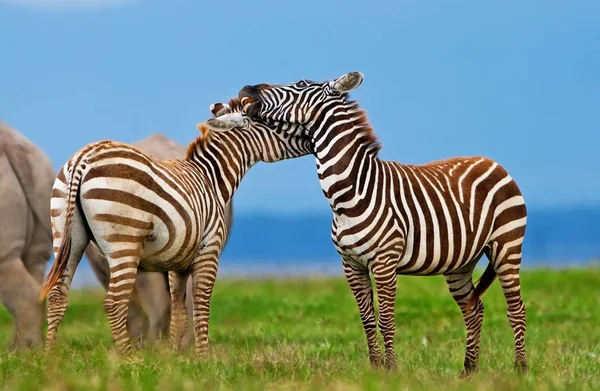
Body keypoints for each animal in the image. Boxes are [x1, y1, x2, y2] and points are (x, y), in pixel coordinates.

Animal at [39, 99, 312, 356]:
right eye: (275, 123)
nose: (309, 137)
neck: (211, 179)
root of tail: (83, 159)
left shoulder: (177, 262)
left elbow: (179, 313)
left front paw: (176, 358)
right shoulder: (209, 251)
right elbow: (200, 305)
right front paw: (203, 359)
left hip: (67, 235)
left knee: (57, 295)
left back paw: (51, 357)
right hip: (124, 242)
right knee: (115, 303)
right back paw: (129, 359)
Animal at [237, 73, 528, 376]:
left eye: (301, 84)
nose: (246, 88)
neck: (349, 194)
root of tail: (493, 162)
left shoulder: (384, 262)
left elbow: (386, 318)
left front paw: (391, 369)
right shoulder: (351, 264)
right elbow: (366, 319)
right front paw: (375, 368)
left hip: (507, 246)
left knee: (516, 308)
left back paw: (520, 368)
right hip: (460, 263)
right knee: (474, 309)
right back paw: (468, 370)